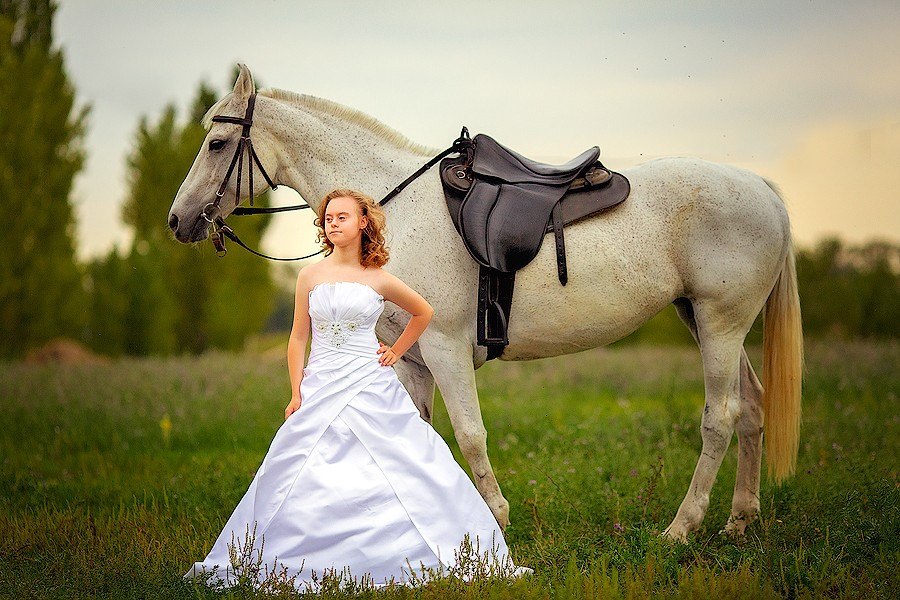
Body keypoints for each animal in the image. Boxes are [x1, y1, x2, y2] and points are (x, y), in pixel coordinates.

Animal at [167, 65, 800, 540]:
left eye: (217, 143)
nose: (178, 220)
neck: (391, 209)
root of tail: (763, 190)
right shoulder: (412, 359)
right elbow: (417, 434)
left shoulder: (444, 348)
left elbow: (470, 435)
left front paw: (495, 519)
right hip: (706, 321)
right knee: (753, 407)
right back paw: (740, 521)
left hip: (719, 325)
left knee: (721, 417)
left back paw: (681, 529)